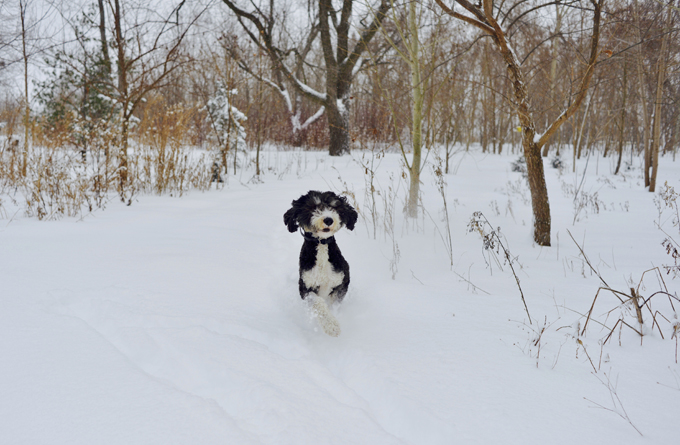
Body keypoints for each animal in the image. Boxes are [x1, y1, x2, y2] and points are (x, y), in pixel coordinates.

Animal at [282, 189, 358, 334]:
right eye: (312, 207)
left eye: (333, 206)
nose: (328, 219)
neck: (321, 244)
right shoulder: (305, 287)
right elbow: (318, 303)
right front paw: (331, 325)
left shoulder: (342, 282)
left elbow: (334, 302)